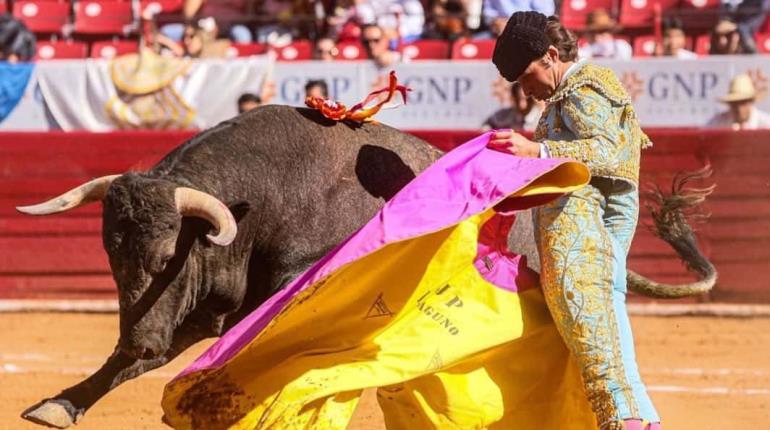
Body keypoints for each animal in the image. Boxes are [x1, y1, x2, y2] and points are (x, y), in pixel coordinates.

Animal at [16, 105, 712, 430]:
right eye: (111, 256)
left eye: (166, 256)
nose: (138, 334)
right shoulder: (209, 308)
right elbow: (136, 363)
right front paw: (60, 404)